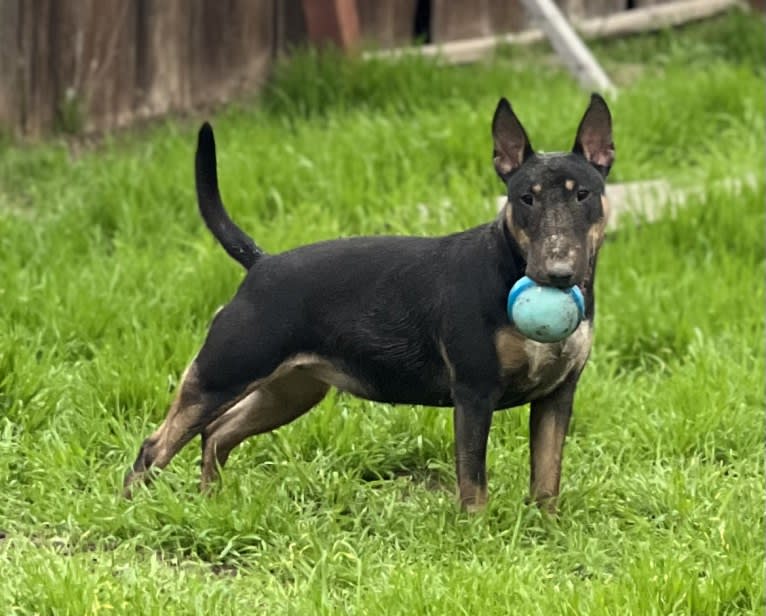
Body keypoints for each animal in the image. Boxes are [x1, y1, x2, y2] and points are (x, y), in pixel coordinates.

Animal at [126, 94, 616, 512]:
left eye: (583, 194)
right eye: (525, 197)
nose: (557, 272)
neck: (509, 261)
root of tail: (261, 265)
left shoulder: (557, 395)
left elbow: (547, 479)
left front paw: (546, 530)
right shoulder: (474, 393)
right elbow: (473, 482)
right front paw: (477, 535)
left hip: (291, 390)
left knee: (217, 434)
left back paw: (213, 504)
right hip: (223, 373)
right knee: (157, 446)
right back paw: (135, 513)